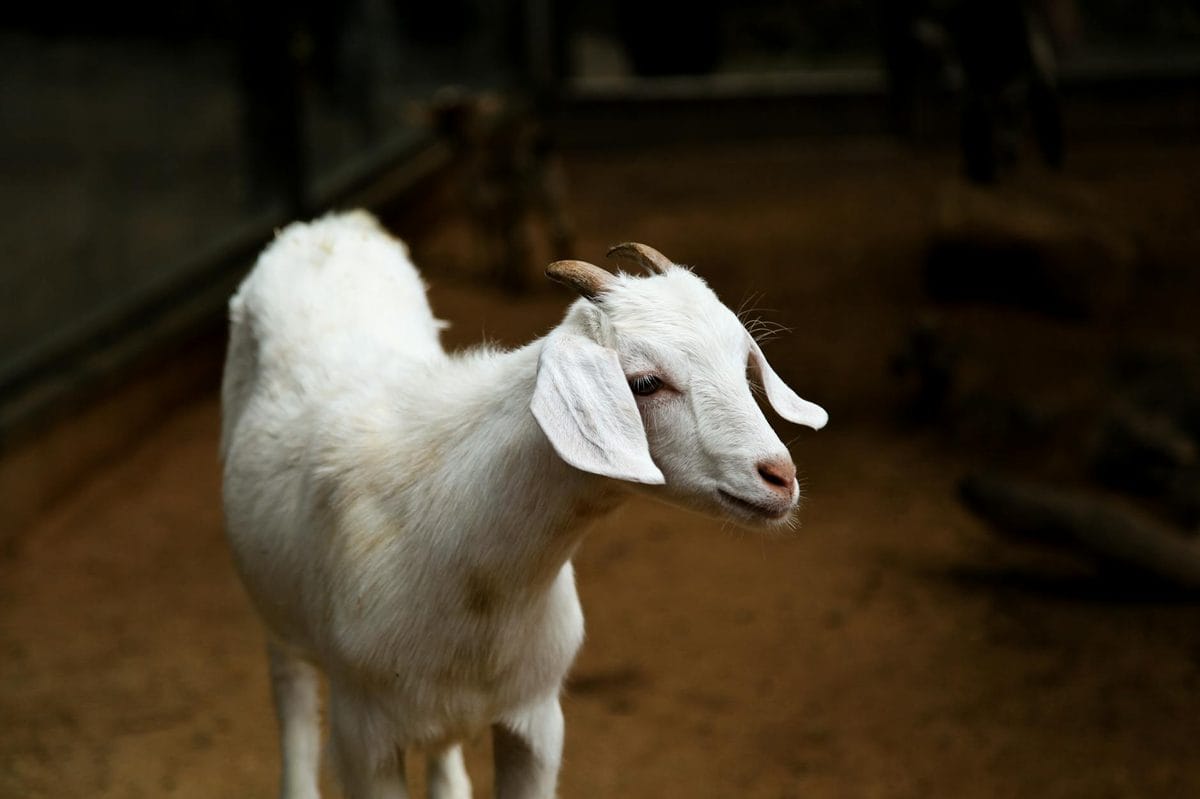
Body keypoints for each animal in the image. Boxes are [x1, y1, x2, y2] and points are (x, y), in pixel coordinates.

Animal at [220, 211, 827, 799]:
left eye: (743, 363)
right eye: (645, 382)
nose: (780, 477)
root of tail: (327, 226)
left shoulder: (535, 719)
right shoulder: (364, 738)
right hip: (277, 618)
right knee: (292, 703)